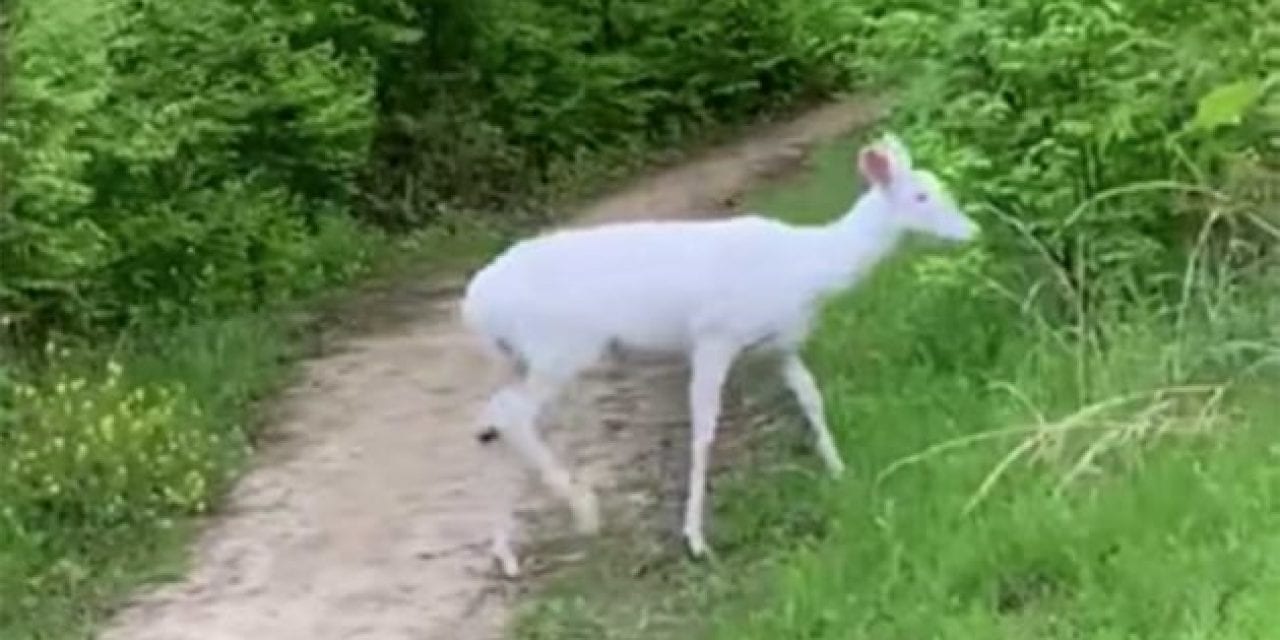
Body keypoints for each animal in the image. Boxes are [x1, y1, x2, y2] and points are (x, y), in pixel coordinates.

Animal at [465, 131, 972, 576]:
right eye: (922, 196)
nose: (971, 230)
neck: (808, 267)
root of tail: (473, 307)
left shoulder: (779, 343)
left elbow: (811, 397)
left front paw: (840, 471)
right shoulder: (714, 336)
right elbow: (704, 429)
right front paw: (695, 540)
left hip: (521, 357)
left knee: (493, 419)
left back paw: (507, 552)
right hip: (560, 346)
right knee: (511, 415)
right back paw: (584, 510)